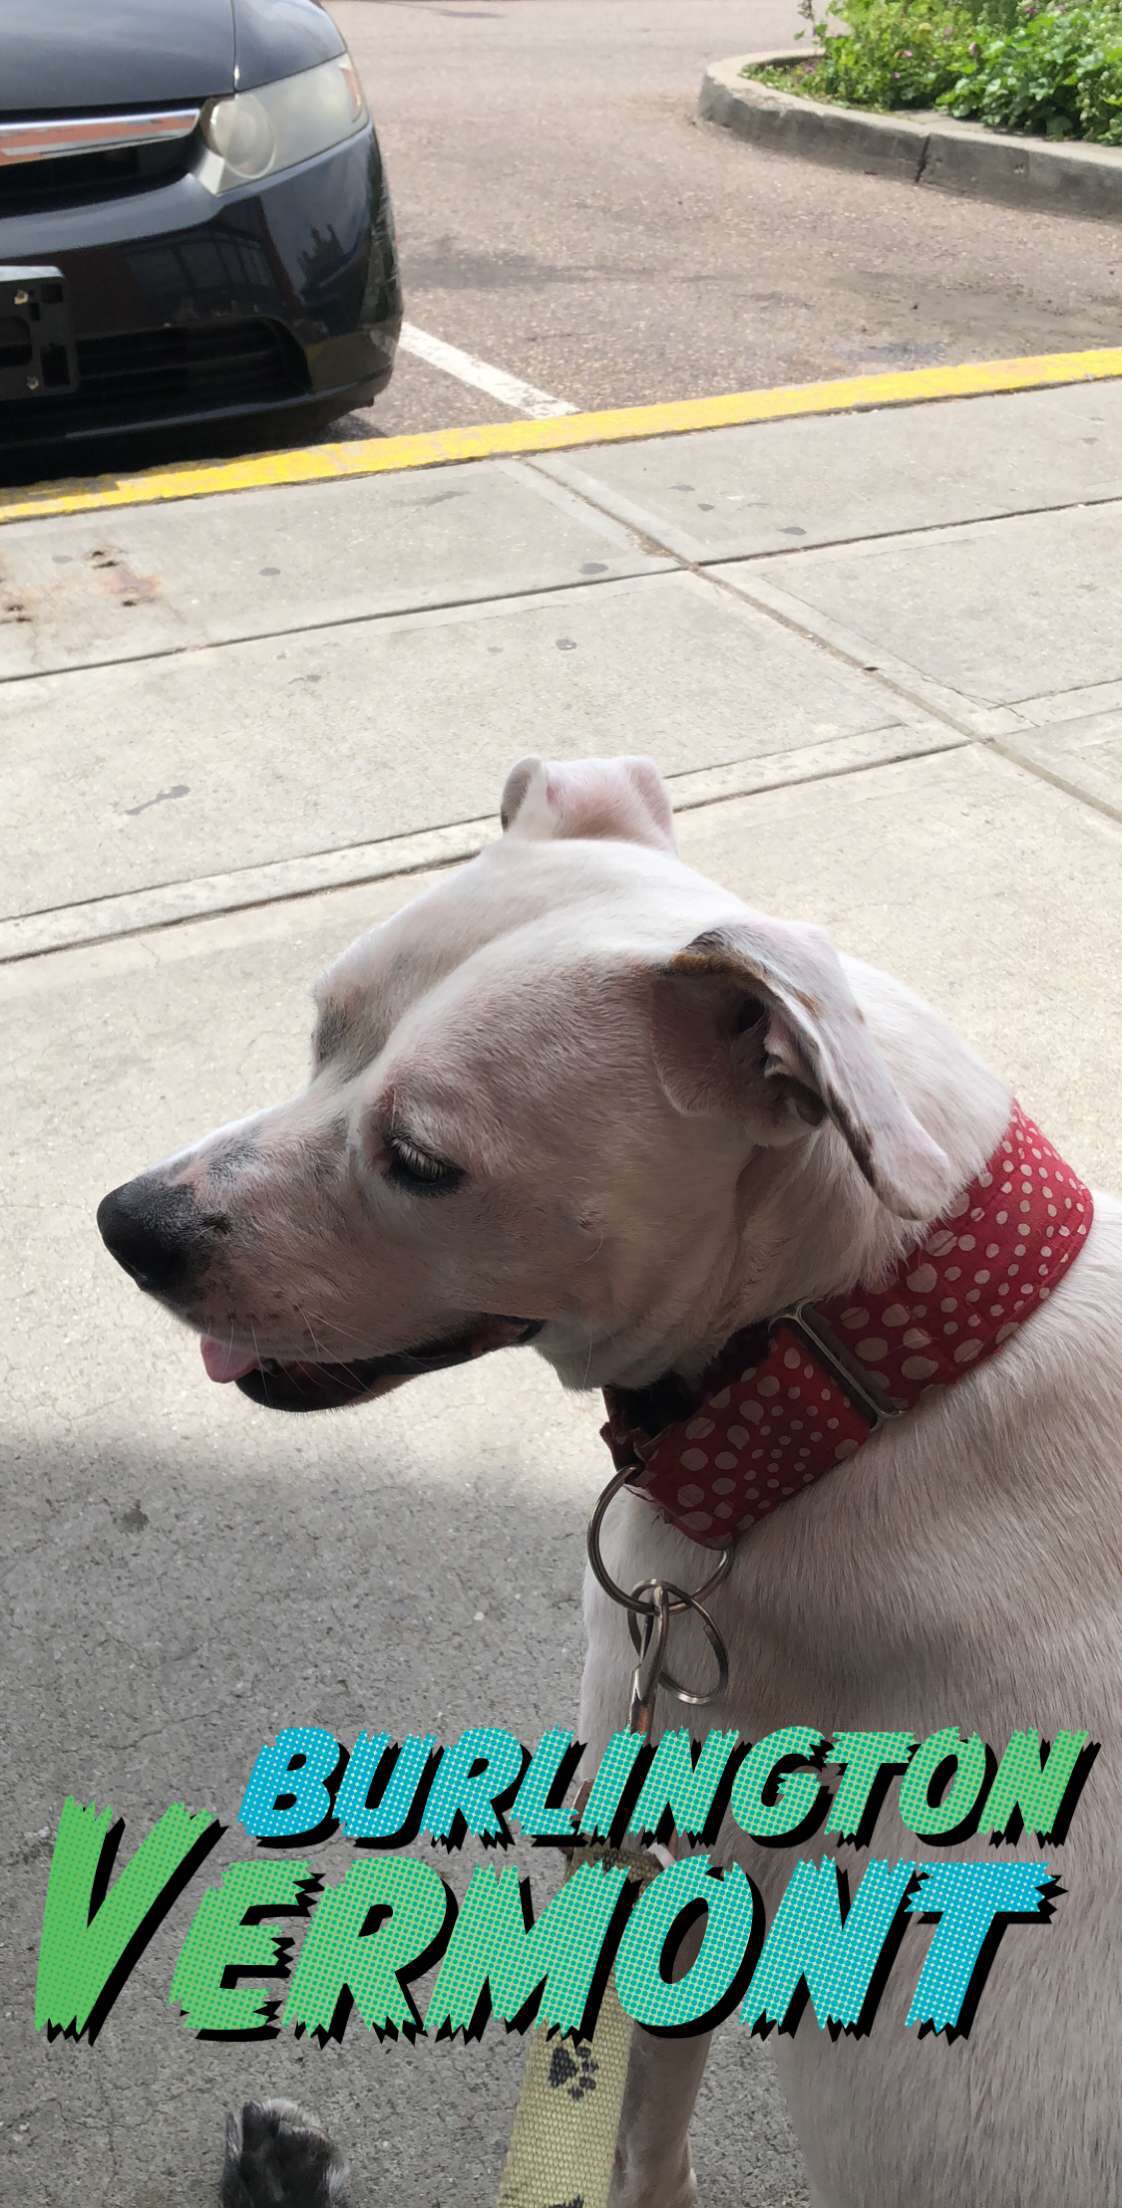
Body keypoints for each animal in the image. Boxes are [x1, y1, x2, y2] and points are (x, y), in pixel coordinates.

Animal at [98, 750, 1122, 2199]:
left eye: (421, 1163)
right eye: (321, 1034)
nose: (128, 1226)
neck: (858, 1367)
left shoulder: (654, 1846)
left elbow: (634, 2141)